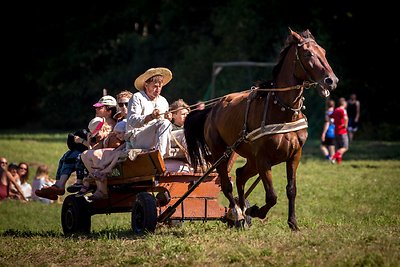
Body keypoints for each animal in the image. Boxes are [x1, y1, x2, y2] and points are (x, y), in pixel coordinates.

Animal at [184, 28, 338, 230]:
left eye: (324, 52)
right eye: (308, 54)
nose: (331, 80)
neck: (282, 109)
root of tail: (212, 110)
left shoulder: (294, 155)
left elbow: (291, 190)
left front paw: (293, 223)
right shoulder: (263, 159)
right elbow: (271, 196)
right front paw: (256, 211)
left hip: (249, 159)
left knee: (240, 176)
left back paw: (241, 211)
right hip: (223, 154)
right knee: (227, 184)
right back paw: (237, 213)